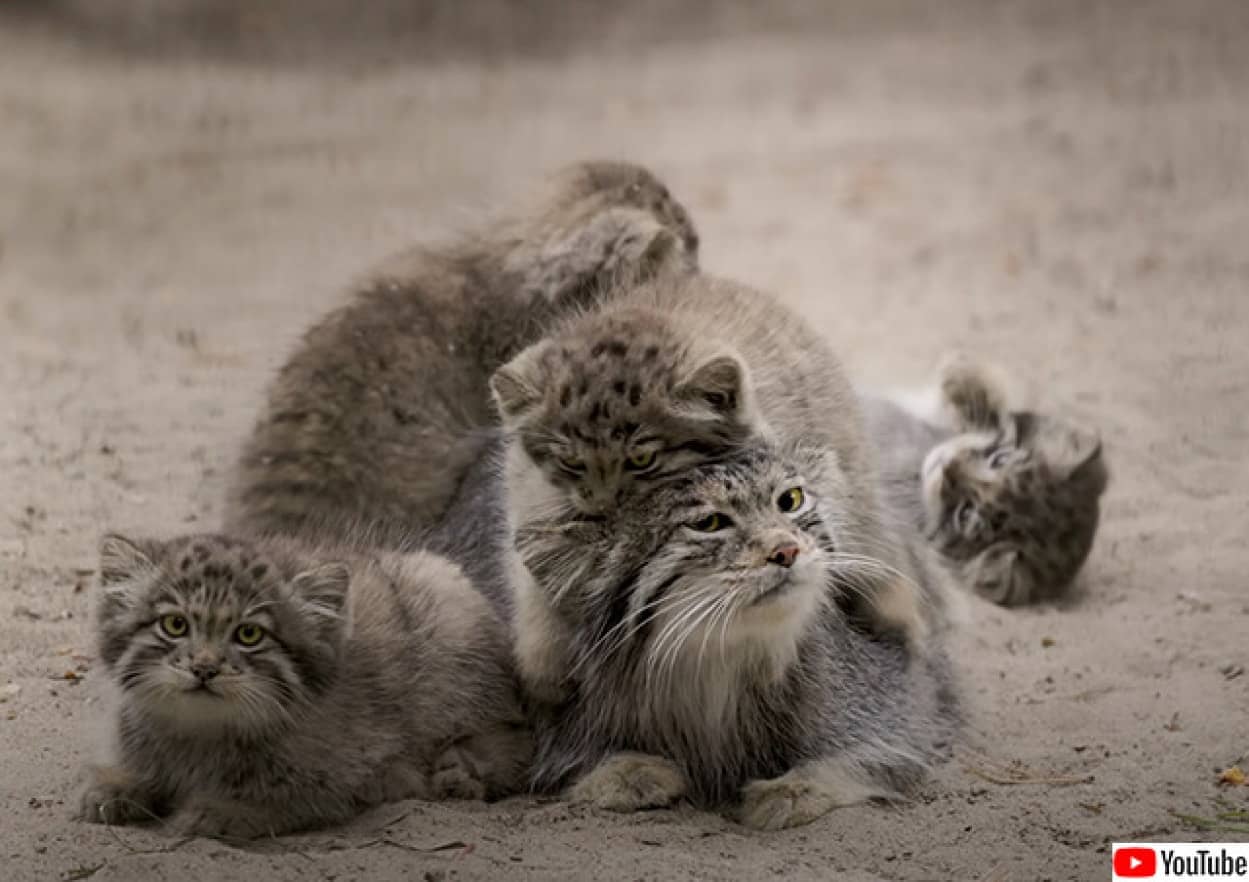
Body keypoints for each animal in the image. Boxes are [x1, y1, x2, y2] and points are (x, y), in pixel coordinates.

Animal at [76, 529, 527, 839]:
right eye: (174, 625)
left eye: (249, 634)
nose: (204, 668)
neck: (200, 732)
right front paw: (115, 785)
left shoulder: (340, 773)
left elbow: (281, 799)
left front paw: (222, 810)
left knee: (510, 739)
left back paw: (457, 770)